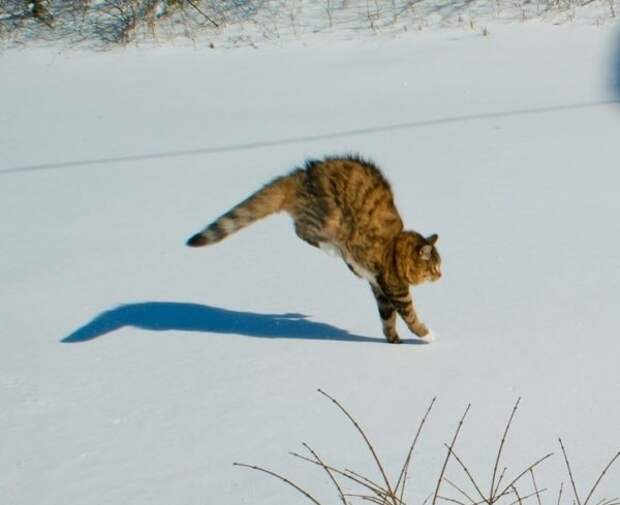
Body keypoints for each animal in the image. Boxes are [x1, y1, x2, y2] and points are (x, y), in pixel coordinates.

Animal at [185, 155, 440, 342]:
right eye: (435, 267)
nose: (441, 276)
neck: (396, 247)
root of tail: (304, 174)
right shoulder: (395, 288)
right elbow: (408, 314)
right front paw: (426, 335)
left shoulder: (379, 287)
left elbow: (387, 318)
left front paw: (393, 340)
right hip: (330, 217)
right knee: (303, 230)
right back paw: (333, 248)